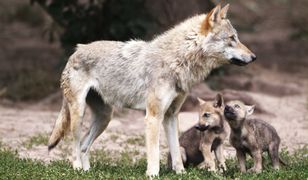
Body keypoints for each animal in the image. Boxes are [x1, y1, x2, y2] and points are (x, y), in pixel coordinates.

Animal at [47, 3, 255, 176]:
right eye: (232, 38)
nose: (254, 57)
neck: (177, 61)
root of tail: (76, 50)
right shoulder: (153, 116)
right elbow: (154, 153)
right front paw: (152, 175)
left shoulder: (171, 116)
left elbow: (176, 153)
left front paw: (181, 174)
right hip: (79, 114)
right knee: (74, 147)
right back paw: (77, 169)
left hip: (105, 118)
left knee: (83, 145)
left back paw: (87, 172)